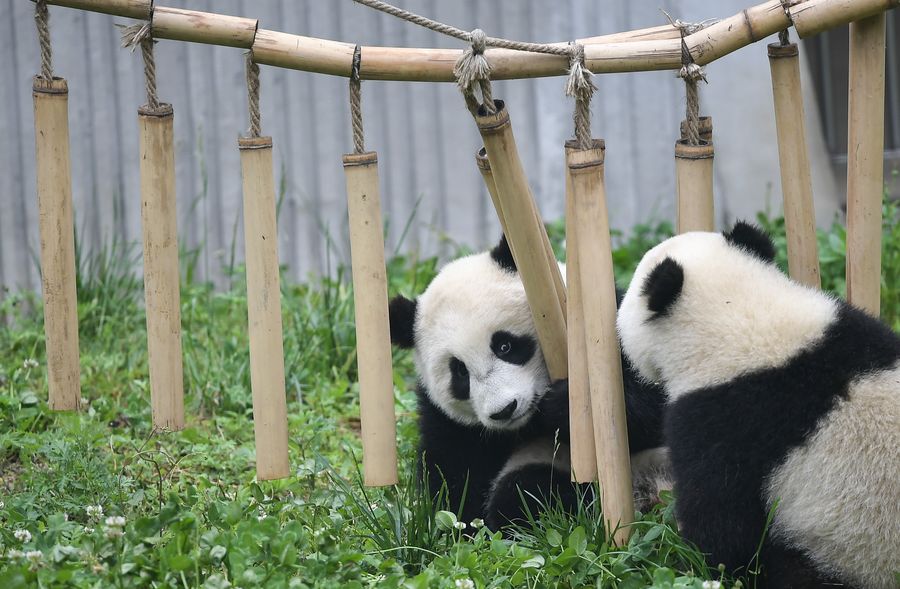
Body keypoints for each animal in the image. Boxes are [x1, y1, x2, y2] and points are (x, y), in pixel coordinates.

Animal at [388, 235, 670, 530]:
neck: (528, 424)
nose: (504, 410)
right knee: (529, 489)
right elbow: (452, 469)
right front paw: (464, 525)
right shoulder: (447, 419)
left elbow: (647, 405)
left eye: (505, 346)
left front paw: (565, 403)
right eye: (460, 373)